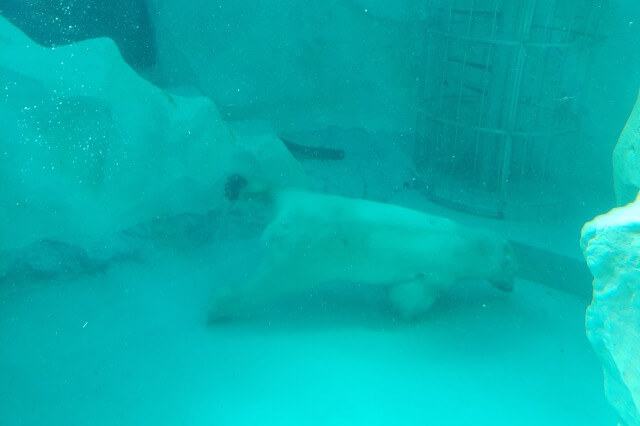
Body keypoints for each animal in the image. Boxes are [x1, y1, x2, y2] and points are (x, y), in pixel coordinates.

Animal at [210, 175, 516, 322]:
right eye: (510, 267)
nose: (511, 287)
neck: (465, 240)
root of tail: (280, 225)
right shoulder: (440, 272)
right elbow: (410, 295)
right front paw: (407, 314)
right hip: (302, 259)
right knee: (261, 288)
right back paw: (217, 306)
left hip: (308, 203)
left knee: (281, 190)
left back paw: (237, 184)